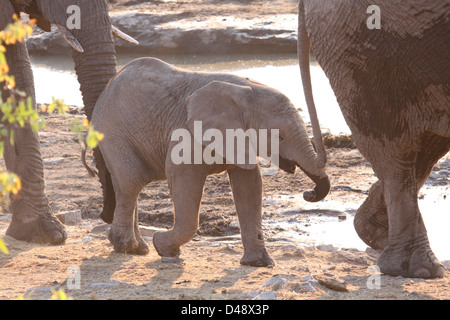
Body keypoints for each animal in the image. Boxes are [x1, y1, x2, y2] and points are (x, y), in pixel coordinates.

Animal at [85, 56, 330, 266]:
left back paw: (139, 249)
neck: (247, 91)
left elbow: (249, 186)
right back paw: (128, 248)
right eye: (280, 137)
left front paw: (259, 263)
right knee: (131, 182)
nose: (309, 193)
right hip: (112, 132)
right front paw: (163, 247)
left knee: (129, 185)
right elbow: (183, 178)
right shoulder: (187, 133)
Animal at [298, 0, 450, 278]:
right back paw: (418, 269)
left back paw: (378, 235)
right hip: (362, 48)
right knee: (396, 148)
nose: (309, 193)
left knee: (426, 147)